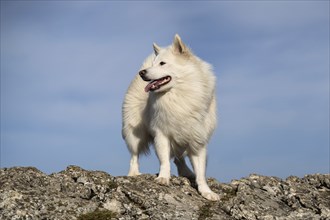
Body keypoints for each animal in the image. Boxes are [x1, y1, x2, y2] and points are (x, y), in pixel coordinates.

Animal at [121, 34, 219, 201]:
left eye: (162, 63)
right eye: (154, 63)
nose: (142, 73)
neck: (178, 94)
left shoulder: (198, 141)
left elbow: (200, 172)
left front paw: (206, 191)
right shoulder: (161, 134)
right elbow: (164, 160)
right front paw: (163, 178)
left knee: (179, 158)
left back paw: (186, 172)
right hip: (135, 133)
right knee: (134, 155)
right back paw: (133, 173)